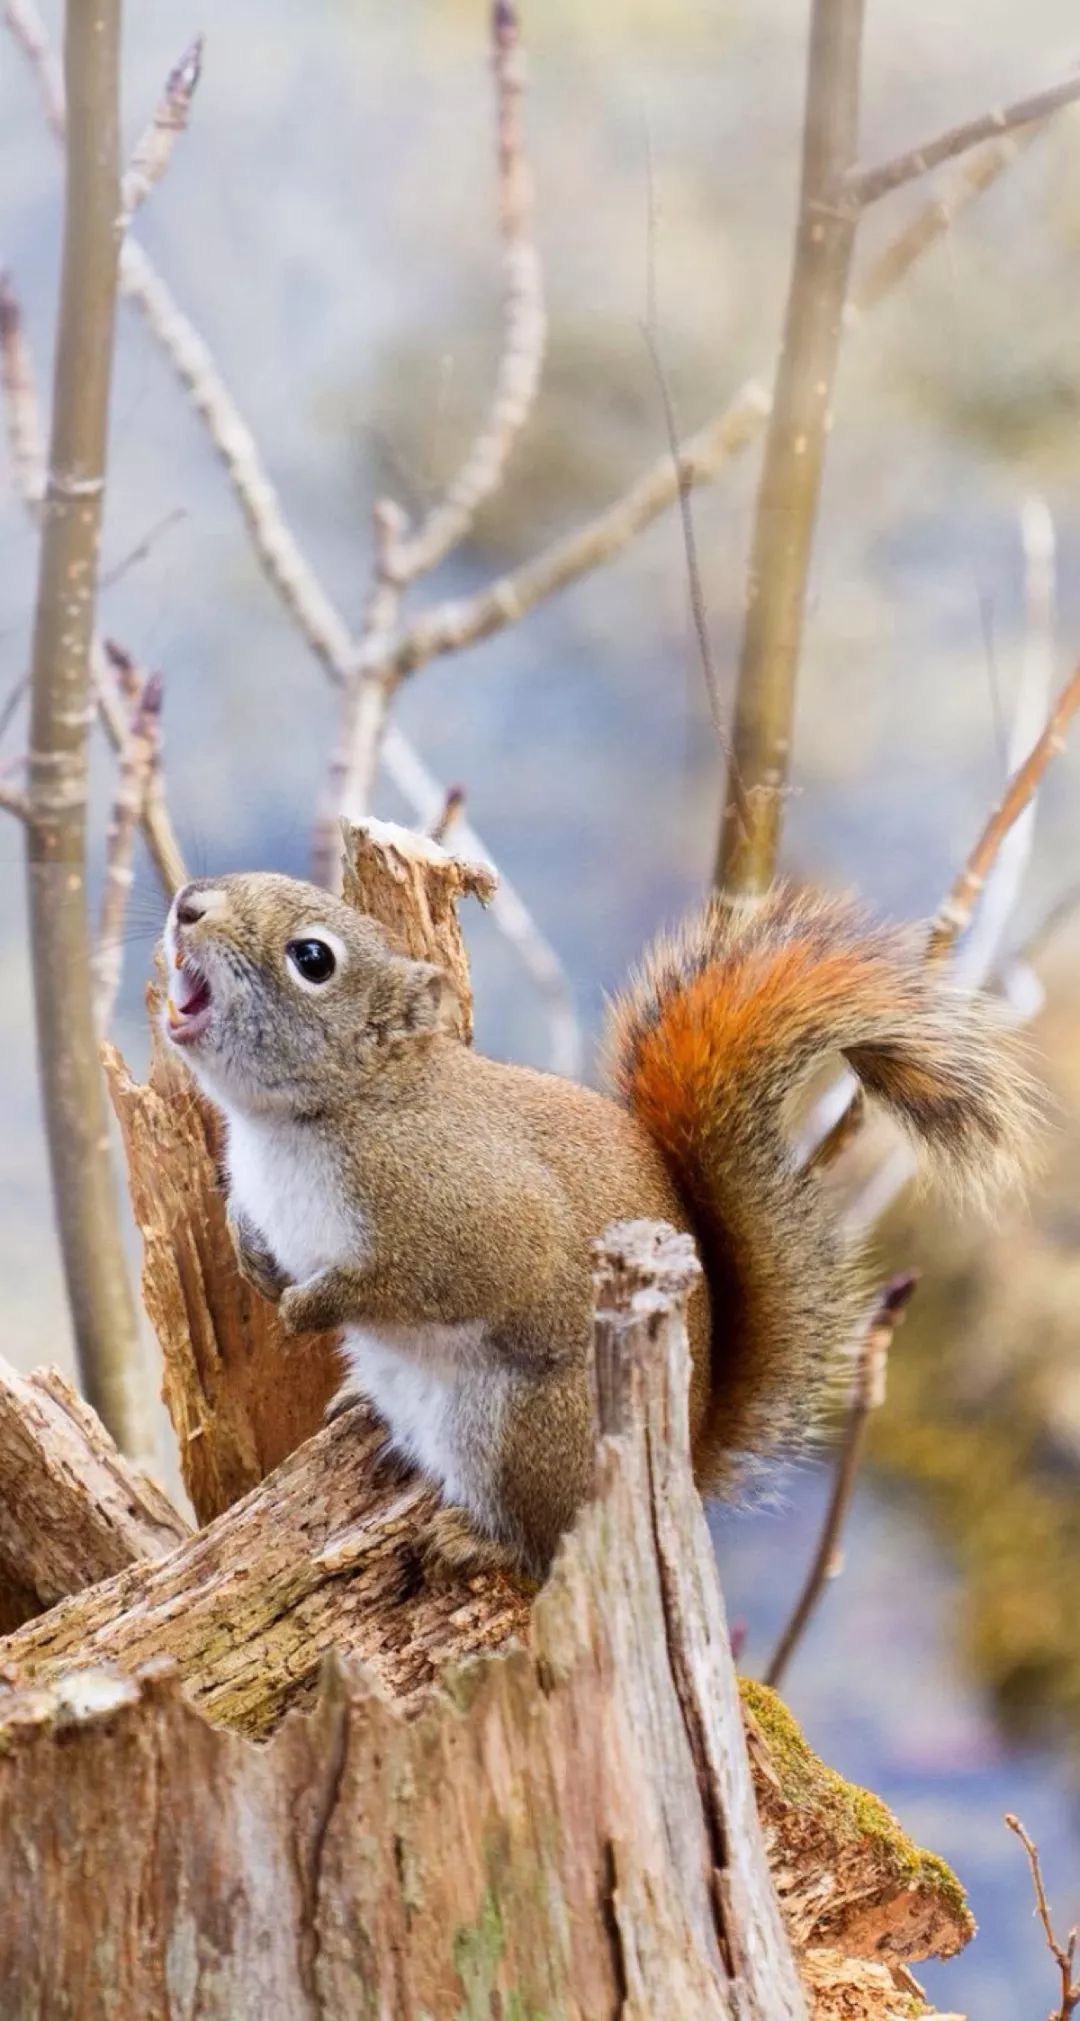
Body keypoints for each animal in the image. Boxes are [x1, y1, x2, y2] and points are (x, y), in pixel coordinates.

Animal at [164, 869, 1035, 1576]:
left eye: (312, 959)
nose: (187, 903)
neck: (302, 1120)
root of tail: (681, 1459)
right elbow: (254, 1225)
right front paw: (254, 1257)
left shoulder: (467, 1210)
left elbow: (425, 1280)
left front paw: (310, 1304)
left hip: (527, 1431)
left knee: (546, 1542)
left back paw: (476, 1540)